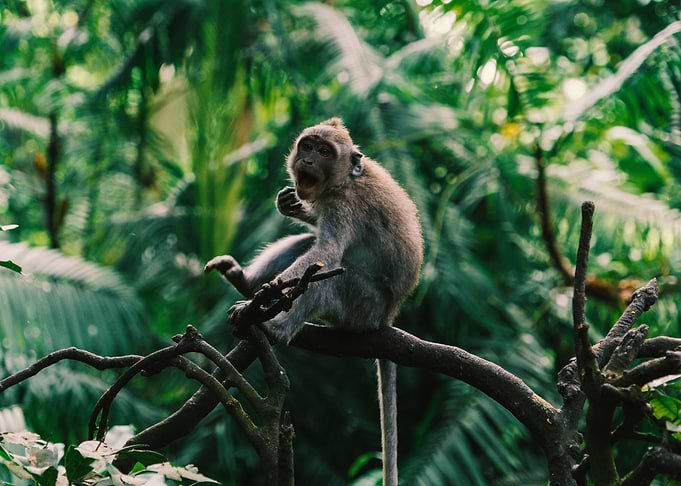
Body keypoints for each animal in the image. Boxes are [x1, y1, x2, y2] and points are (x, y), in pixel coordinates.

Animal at [205, 118, 423, 486]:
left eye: (324, 151)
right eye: (307, 146)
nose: (306, 160)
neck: (345, 180)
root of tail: (388, 317)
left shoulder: (344, 205)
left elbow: (328, 250)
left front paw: (265, 302)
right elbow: (315, 240)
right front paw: (291, 205)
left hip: (361, 306)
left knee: (329, 278)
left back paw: (275, 325)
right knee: (305, 251)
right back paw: (245, 282)